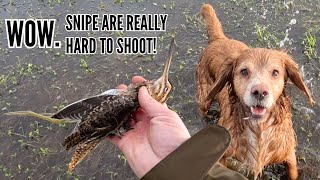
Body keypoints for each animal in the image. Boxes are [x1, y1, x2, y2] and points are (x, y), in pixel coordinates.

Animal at [198, 3, 316, 180]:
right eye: (244, 71)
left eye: (275, 72)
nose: (260, 92)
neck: (259, 129)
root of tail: (219, 39)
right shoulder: (225, 156)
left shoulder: (288, 154)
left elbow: (293, 171)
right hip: (204, 97)